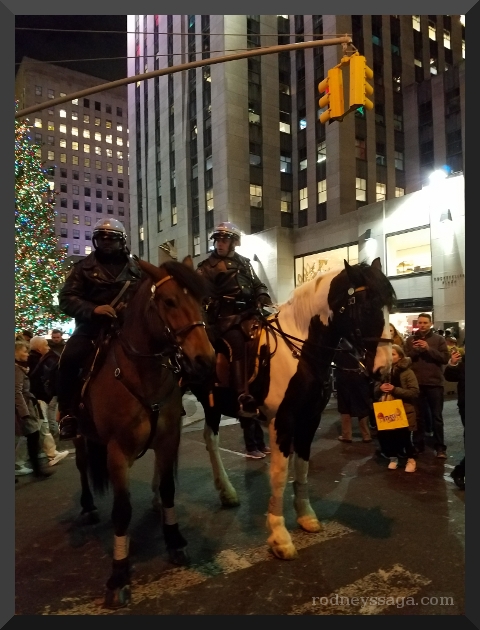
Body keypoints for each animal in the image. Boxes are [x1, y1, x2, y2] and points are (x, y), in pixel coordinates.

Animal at [72, 256, 215, 608]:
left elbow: (168, 489)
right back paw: (87, 506)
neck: (140, 372)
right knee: (82, 467)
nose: (205, 360)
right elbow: (122, 511)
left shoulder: (167, 440)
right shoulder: (117, 452)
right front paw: (119, 574)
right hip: (80, 436)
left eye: (202, 302)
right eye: (169, 301)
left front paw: (174, 540)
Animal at [189, 258, 396, 560]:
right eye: (368, 306)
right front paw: (279, 536)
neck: (300, 352)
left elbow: (302, 467)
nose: (384, 369)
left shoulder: (309, 419)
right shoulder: (282, 421)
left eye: (391, 304)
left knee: (210, 439)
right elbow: (279, 474)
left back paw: (226, 492)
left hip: (212, 405)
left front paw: (306, 516)